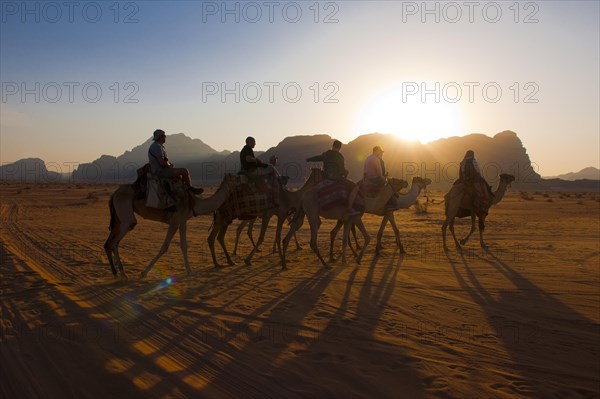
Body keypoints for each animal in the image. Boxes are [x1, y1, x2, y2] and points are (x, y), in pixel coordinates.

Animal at [104, 175, 240, 282]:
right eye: (236, 177)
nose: (243, 177)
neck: (193, 202)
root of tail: (114, 194)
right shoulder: (174, 222)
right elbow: (164, 247)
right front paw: (144, 273)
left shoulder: (183, 221)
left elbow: (184, 245)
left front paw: (190, 271)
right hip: (125, 215)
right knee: (115, 241)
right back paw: (122, 275)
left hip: (119, 218)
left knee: (110, 243)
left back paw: (117, 274)